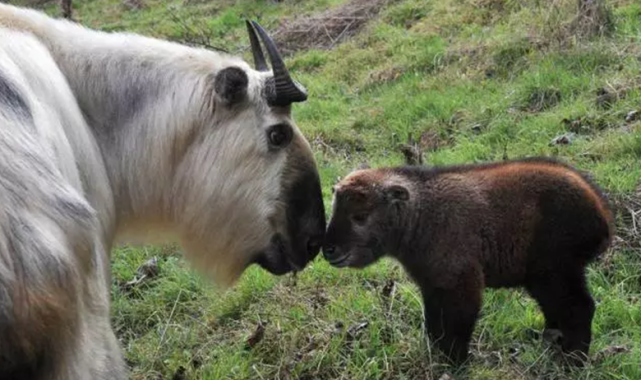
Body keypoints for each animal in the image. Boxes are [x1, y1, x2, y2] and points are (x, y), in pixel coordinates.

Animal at [324, 157, 616, 366]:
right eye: (335, 208)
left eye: (360, 216)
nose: (329, 250)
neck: (421, 216)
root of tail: (601, 215)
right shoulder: (433, 285)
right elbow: (434, 327)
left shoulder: (462, 283)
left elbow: (457, 327)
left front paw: (456, 364)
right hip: (545, 277)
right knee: (559, 312)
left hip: (555, 271)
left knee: (579, 308)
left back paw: (572, 361)